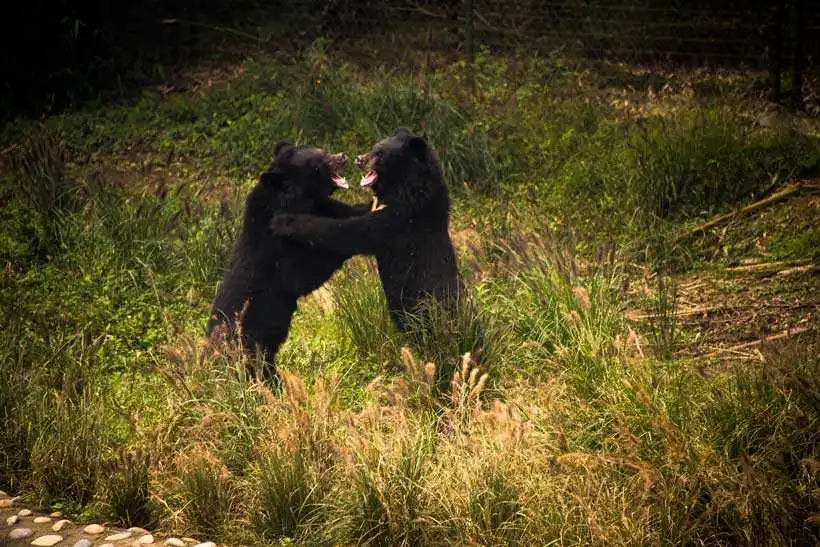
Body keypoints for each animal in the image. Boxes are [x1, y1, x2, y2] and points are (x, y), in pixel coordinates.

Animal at [207, 141, 366, 382]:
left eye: (323, 151)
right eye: (319, 163)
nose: (342, 156)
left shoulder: (326, 207)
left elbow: (348, 211)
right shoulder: (275, 252)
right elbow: (306, 272)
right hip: (251, 345)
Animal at [270, 130, 458, 330]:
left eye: (381, 154)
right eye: (374, 148)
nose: (359, 159)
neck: (403, 187)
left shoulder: (404, 216)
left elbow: (353, 232)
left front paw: (284, 221)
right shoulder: (382, 206)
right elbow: (355, 212)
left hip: (425, 307)